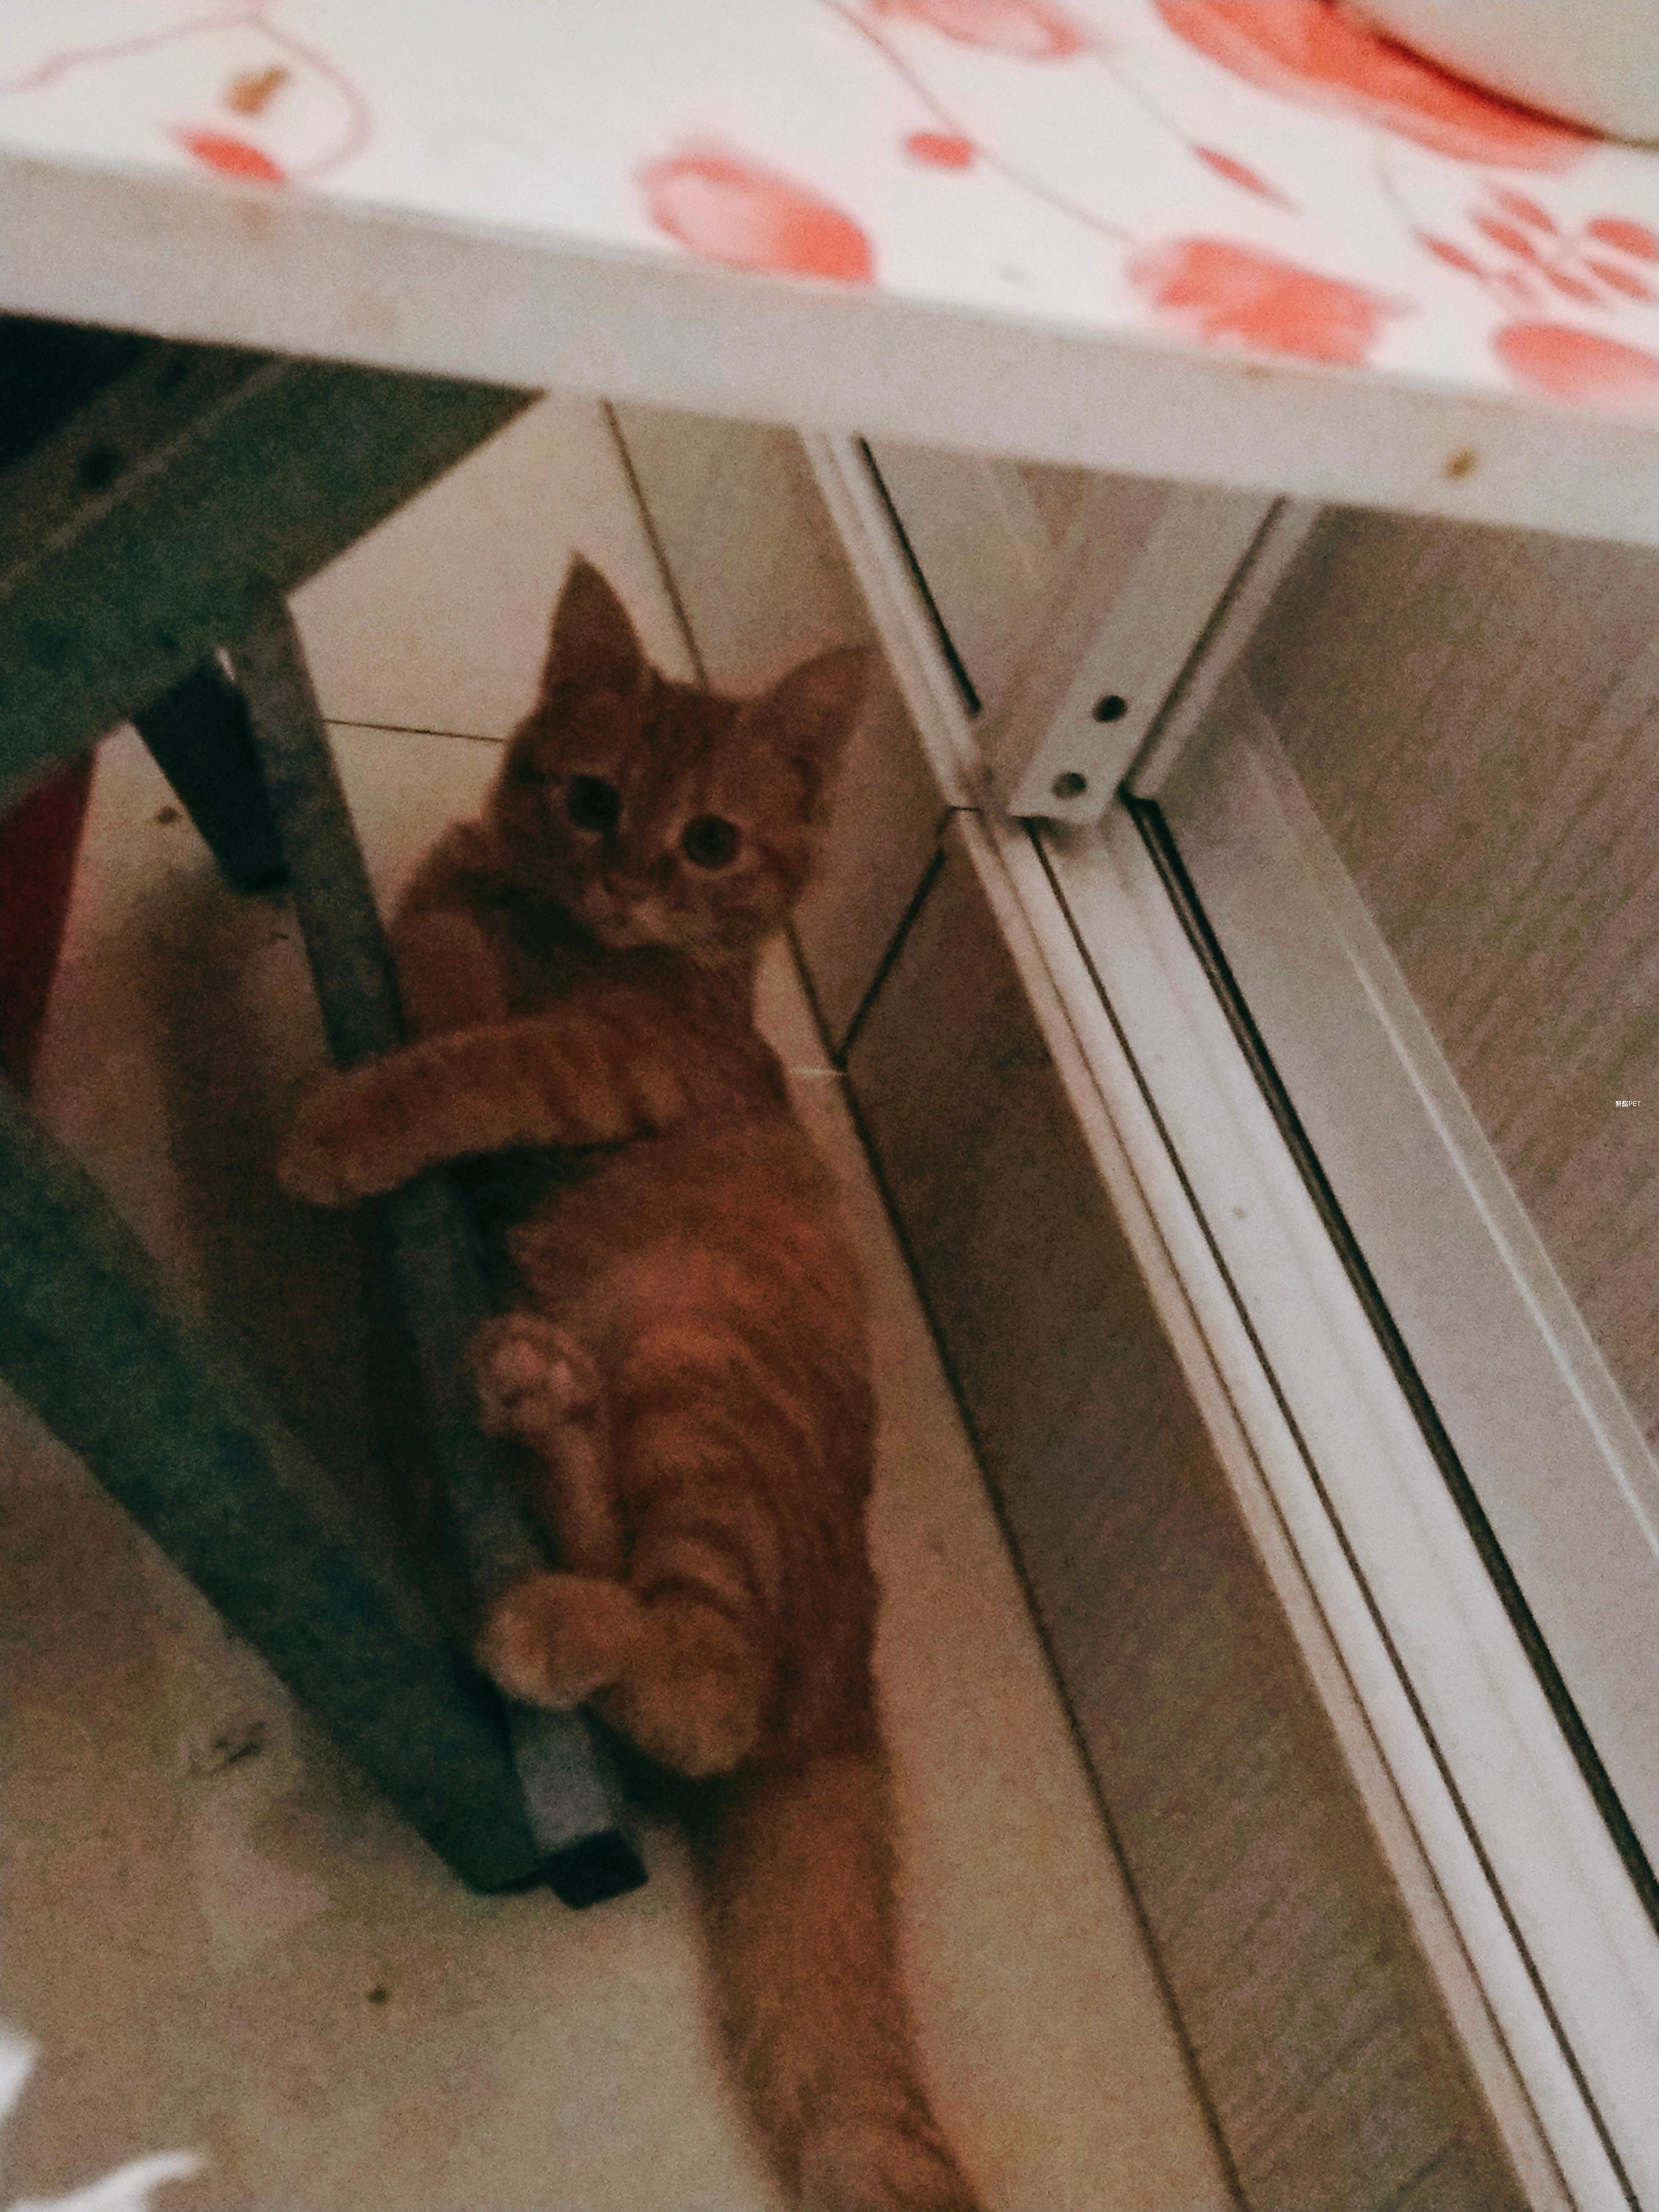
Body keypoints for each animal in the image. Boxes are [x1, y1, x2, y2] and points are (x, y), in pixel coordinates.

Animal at [277, 558, 984, 2212]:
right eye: (594, 798)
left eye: (710, 839)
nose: (626, 878)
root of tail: (847, 1689)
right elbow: (439, 932)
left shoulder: (608, 1059)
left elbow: (467, 1049)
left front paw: (351, 1114)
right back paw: (534, 1400)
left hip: (694, 1393)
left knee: (703, 1691)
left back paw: (552, 1620)